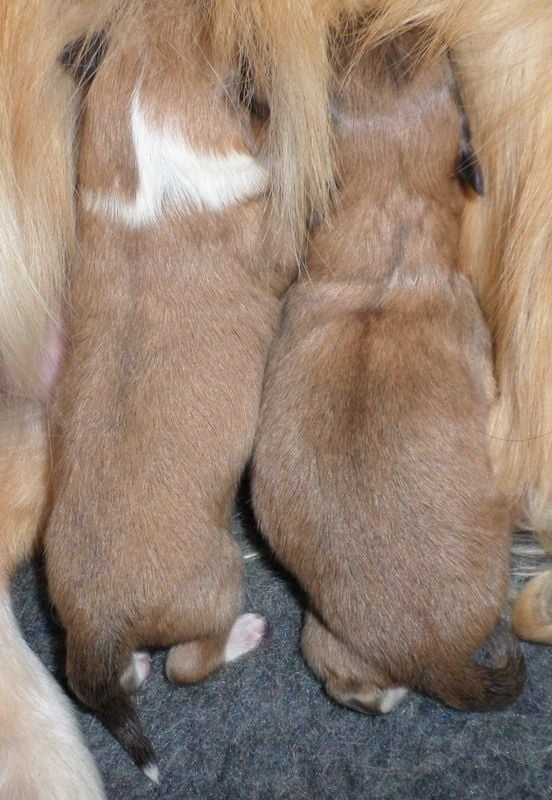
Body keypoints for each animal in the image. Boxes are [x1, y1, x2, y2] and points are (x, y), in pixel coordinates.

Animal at [45, 0, 296, 776]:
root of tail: (97, 621)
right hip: (214, 584)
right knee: (190, 663)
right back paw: (243, 635)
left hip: (80, 635)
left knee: (107, 678)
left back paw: (129, 670)